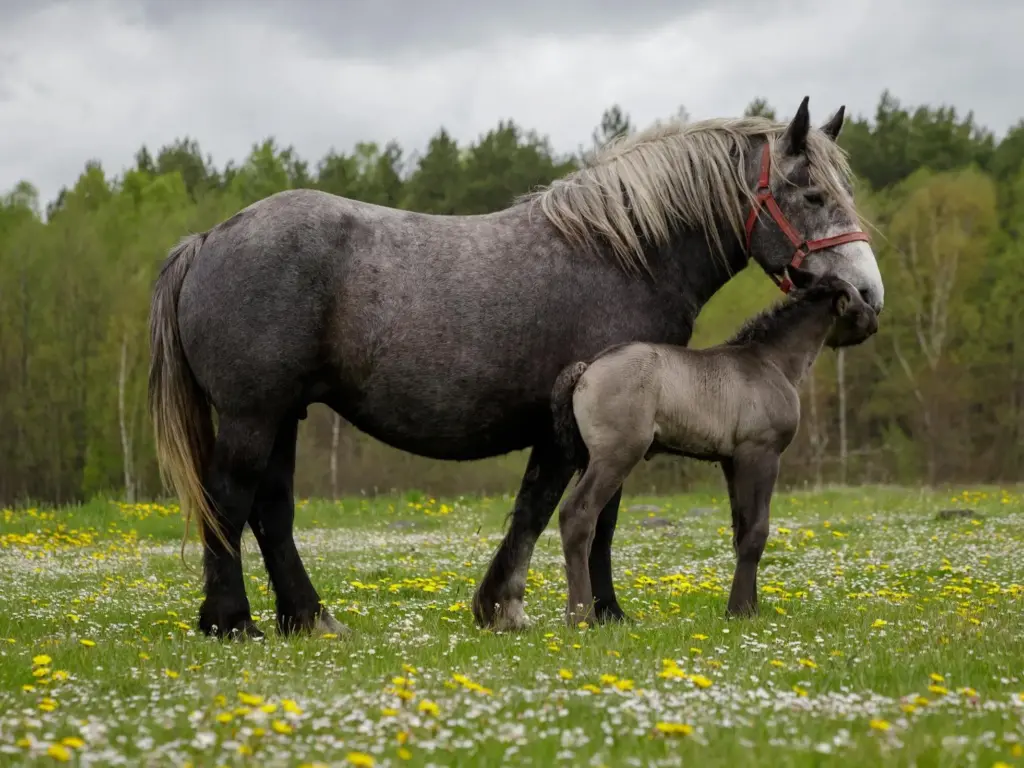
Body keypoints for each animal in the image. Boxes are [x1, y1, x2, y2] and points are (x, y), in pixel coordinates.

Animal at [549, 268, 879, 626]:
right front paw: (738, 610)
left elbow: (741, 530)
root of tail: (586, 369)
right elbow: (756, 532)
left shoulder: (731, 461)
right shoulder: (760, 453)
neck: (771, 362)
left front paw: (750, 607)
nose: (875, 319)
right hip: (615, 456)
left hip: (589, 459)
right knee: (577, 515)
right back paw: (581, 617)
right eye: (857, 296)